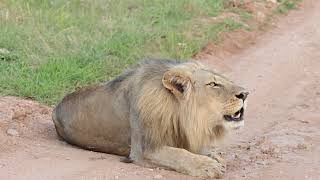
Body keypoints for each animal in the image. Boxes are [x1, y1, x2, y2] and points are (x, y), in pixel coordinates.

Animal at [52, 59, 249, 177]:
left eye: (226, 80)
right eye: (213, 84)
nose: (245, 94)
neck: (179, 115)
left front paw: (213, 156)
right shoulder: (144, 149)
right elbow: (179, 154)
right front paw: (206, 165)